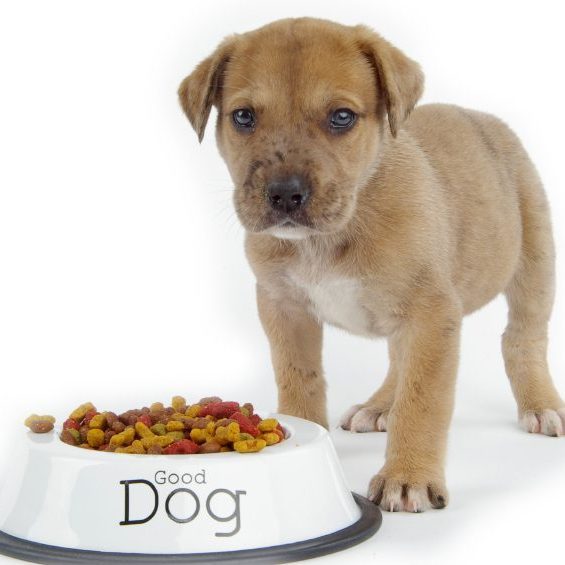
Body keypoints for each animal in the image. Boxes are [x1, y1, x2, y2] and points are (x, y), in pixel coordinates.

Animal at [177, 16, 564, 512]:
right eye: (243, 117)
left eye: (342, 117)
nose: (284, 194)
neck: (328, 237)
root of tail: (479, 115)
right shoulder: (284, 307)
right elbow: (299, 380)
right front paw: (300, 439)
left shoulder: (432, 314)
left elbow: (423, 402)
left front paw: (408, 476)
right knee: (399, 359)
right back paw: (379, 405)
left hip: (535, 260)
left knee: (523, 339)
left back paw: (541, 403)